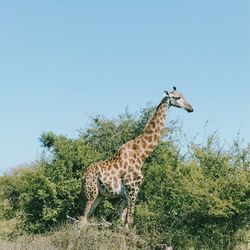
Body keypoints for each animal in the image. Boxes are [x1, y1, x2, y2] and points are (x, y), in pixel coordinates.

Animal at [80, 87, 193, 229]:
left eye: (183, 95)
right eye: (177, 97)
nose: (190, 108)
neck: (141, 155)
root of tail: (83, 176)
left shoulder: (127, 194)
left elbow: (122, 222)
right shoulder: (132, 189)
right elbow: (130, 221)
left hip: (99, 195)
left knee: (86, 218)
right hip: (91, 193)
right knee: (81, 219)